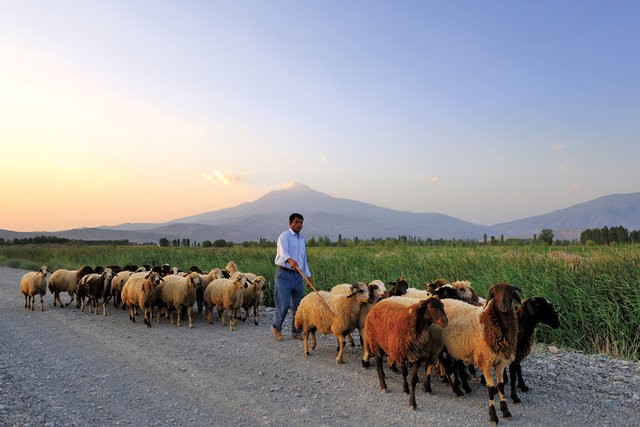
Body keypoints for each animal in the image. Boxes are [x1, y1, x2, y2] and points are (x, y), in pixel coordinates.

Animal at [440, 284, 524, 424]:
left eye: (511, 293)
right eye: (495, 294)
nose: (504, 305)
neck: (488, 324)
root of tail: (443, 300)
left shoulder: (500, 362)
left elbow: (500, 386)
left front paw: (505, 411)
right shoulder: (486, 362)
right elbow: (490, 389)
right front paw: (493, 416)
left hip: (454, 348)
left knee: (451, 366)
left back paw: (459, 388)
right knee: (445, 366)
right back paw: (457, 390)